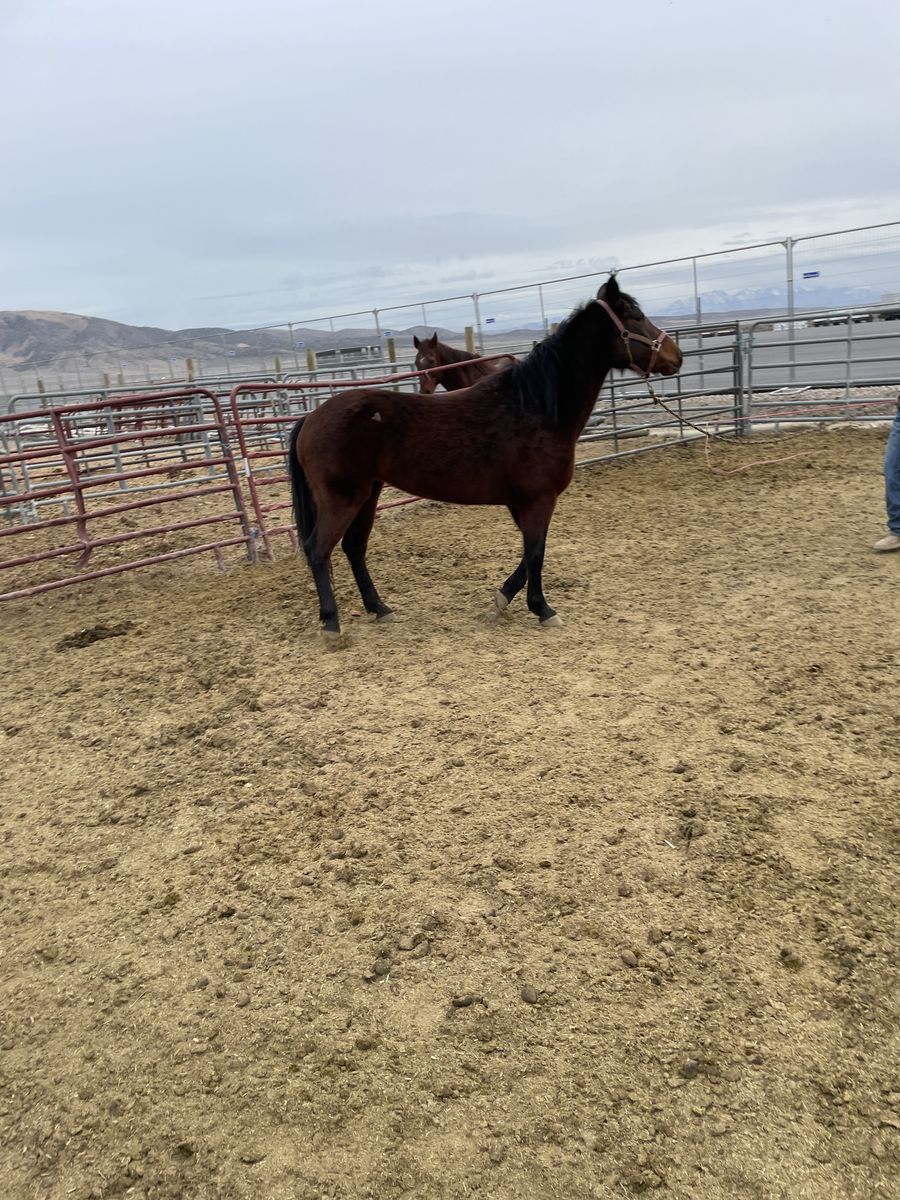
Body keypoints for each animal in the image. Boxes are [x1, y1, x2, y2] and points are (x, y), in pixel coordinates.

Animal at [288, 275, 682, 642]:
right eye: (636, 316)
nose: (676, 356)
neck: (535, 406)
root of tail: (311, 417)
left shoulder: (521, 502)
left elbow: (529, 553)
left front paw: (502, 600)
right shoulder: (539, 499)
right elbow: (536, 552)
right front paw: (542, 609)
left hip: (369, 493)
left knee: (354, 548)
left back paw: (380, 608)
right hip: (343, 498)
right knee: (318, 550)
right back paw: (332, 625)